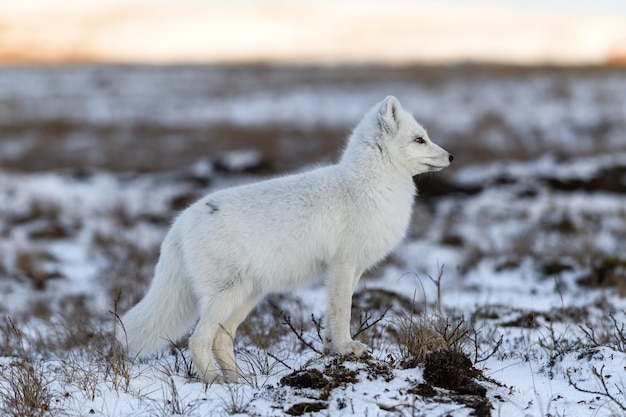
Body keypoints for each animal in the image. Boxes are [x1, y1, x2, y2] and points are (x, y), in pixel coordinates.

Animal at [114, 96, 450, 382]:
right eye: (419, 139)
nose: (451, 155)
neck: (369, 185)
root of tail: (180, 223)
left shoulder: (352, 270)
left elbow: (332, 317)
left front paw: (331, 349)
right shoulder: (342, 265)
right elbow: (342, 312)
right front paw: (347, 347)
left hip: (247, 296)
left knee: (221, 339)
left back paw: (240, 381)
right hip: (226, 295)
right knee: (198, 339)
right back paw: (215, 383)